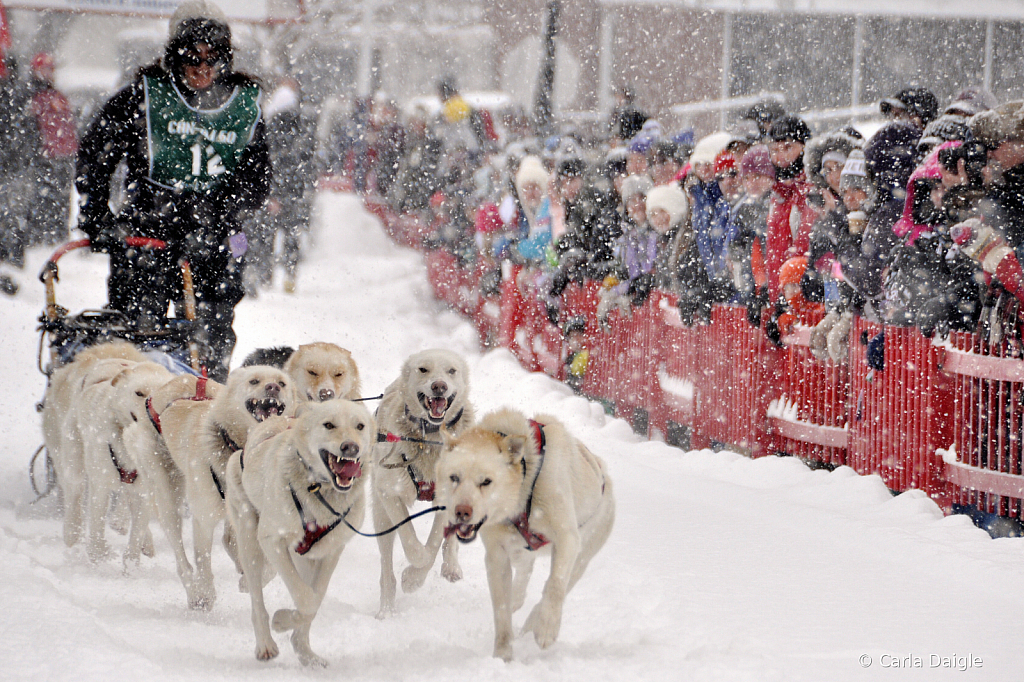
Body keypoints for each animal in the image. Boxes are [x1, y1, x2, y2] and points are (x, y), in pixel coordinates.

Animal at [157, 364, 299, 606]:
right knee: (182, 559)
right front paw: (205, 592)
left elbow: (270, 567)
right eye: (254, 381)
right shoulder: (203, 517)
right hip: (167, 500)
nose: (273, 387)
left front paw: (251, 580)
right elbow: (203, 559)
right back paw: (194, 592)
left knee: (229, 540)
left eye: (282, 383)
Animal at [228, 399, 376, 663]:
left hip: (305, 558)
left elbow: (315, 599)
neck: (318, 490)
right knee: (257, 599)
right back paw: (265, 643)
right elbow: (306, 599)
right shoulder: (272, 540)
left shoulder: (331, 551)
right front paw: (280, 621)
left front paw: (291, 627)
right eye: (329, 425)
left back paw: (306, 653)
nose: (351, 447)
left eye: (360, 426)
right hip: (249, 539)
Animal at [372, 348, 475, 614]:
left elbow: (435, 542)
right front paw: (411, 576)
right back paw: (386, 608)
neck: (428, 438)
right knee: (386, 566)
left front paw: (415, 577)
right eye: (423, 369)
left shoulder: (447, 497)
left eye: (451, 370)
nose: (439, 386)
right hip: (379, 513)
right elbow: (412, 542)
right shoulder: (389, 493)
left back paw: (451, 565)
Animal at [434, 405, 614, 655]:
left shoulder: (567, 539)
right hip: (521, 551)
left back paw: (533, 624)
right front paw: (502, 655)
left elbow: (554, 586)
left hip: (581, 557)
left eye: (486, 481)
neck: (525, 485)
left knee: (557, 585)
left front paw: (546, 628)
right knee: (523, 579)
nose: (462, 511)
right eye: (454, 477)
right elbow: (501, 611)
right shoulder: (497, 555)